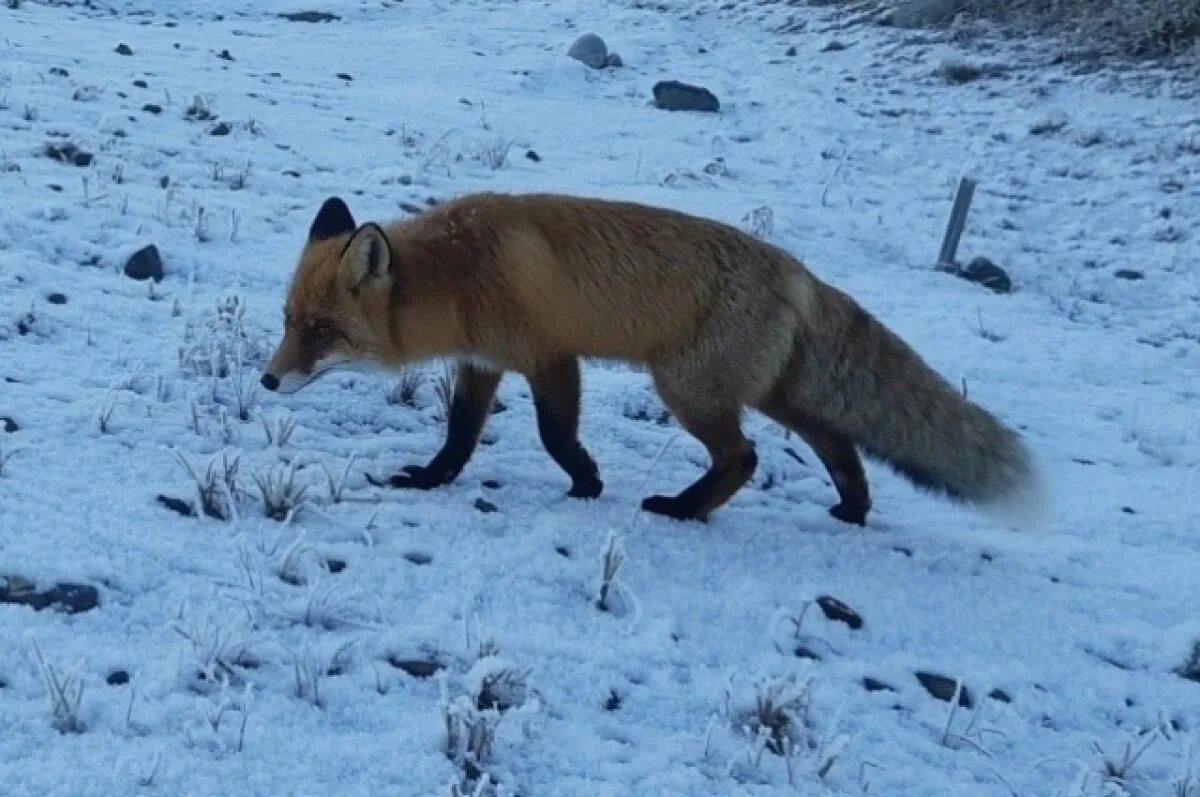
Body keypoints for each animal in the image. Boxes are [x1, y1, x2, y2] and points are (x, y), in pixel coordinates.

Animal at [262, 192, 1051, 528]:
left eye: (323, 330)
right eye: (289, 322)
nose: (268, 380)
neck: (459, 273)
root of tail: (799, 274)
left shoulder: (551, 356)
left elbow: (555, 435)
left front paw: (586, 484)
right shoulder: (485, 361)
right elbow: (458, 435)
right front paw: (430, 480)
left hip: (686, 390)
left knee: (745, 459)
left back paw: (683, 509)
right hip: (766, 395)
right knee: (839, 443)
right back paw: (852, 509)